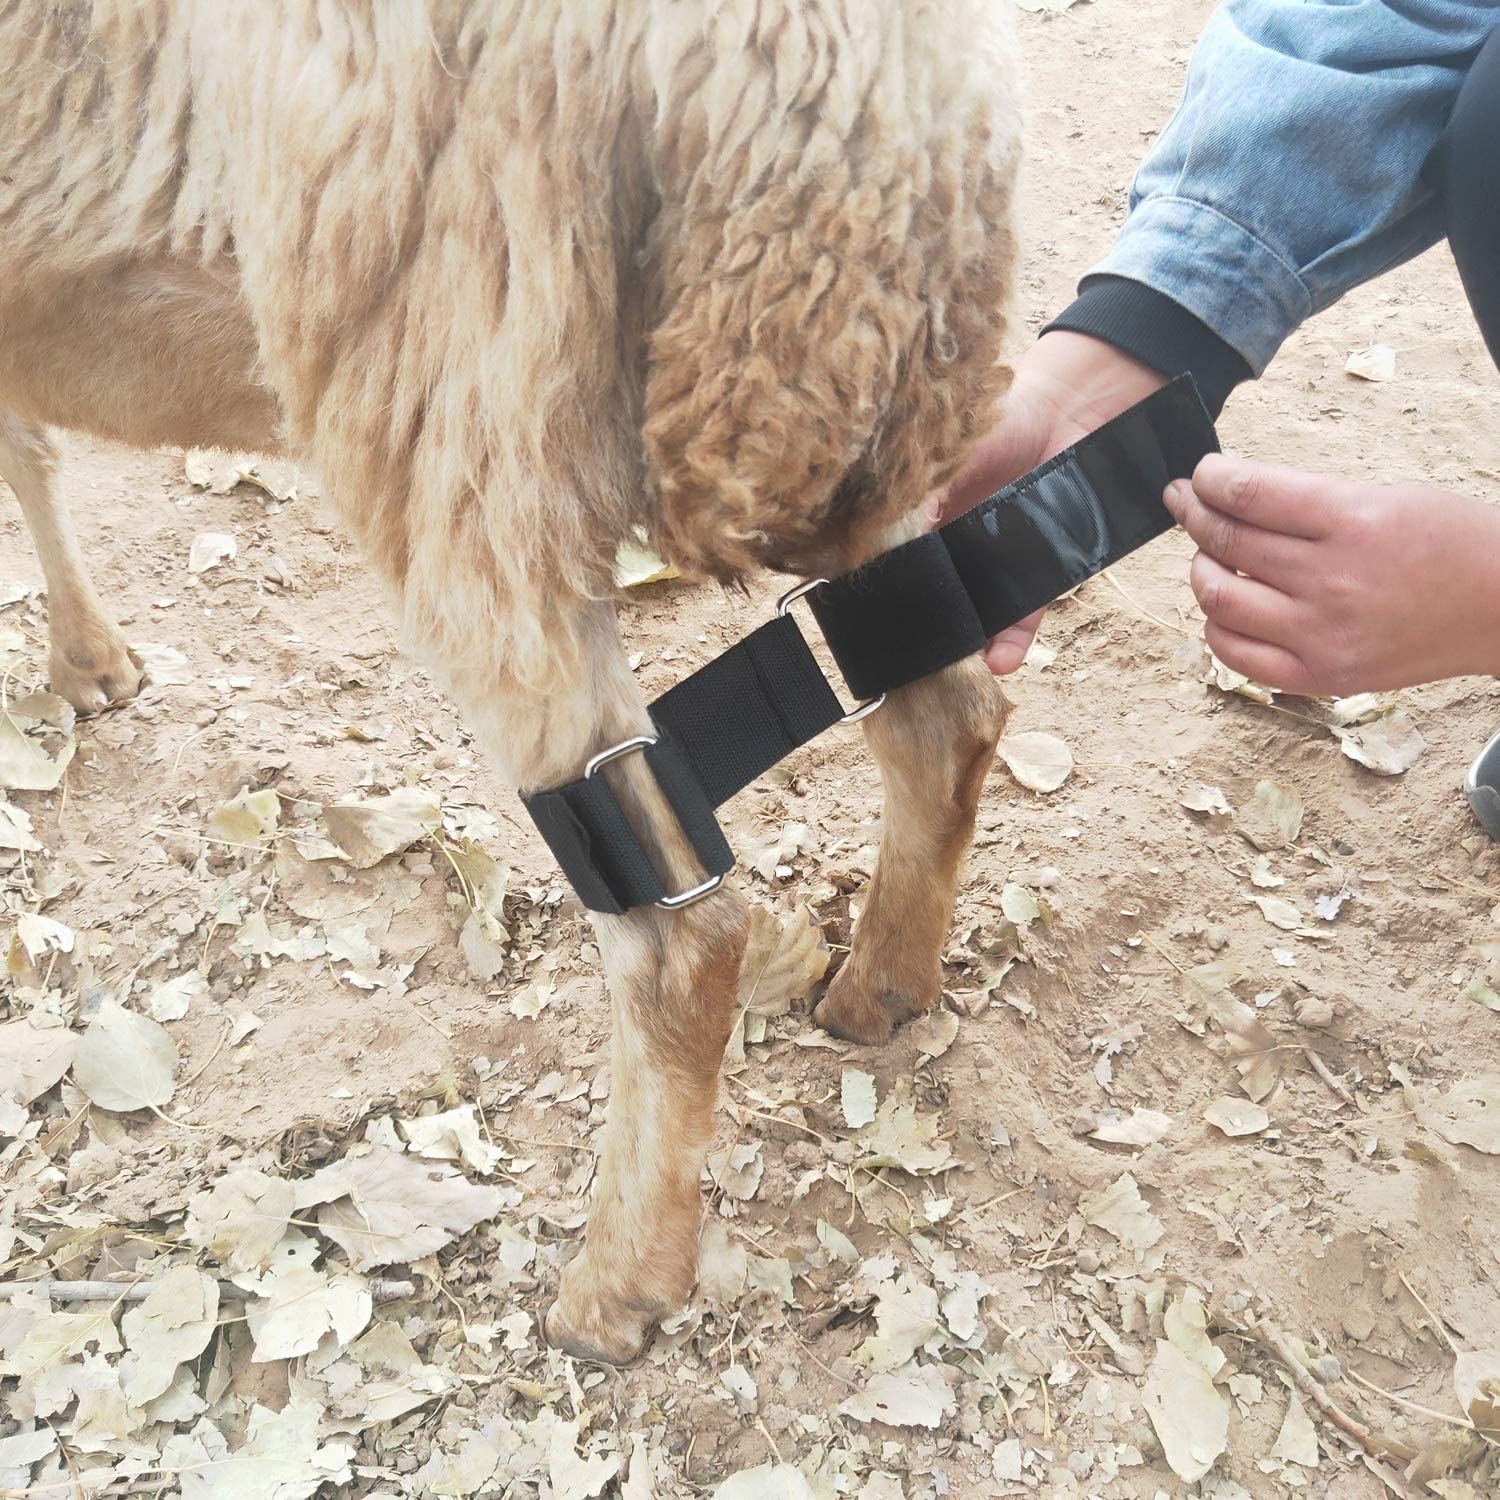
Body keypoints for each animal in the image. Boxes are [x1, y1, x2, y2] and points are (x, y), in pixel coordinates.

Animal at [1, 0, 1020, 1363]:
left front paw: (81, 658)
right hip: (863, 398)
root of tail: (841, 60)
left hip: (470, 416)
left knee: (678, 930)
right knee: (944, 714)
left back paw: (617, 1287)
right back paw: (881, 989)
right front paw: (90, 660)